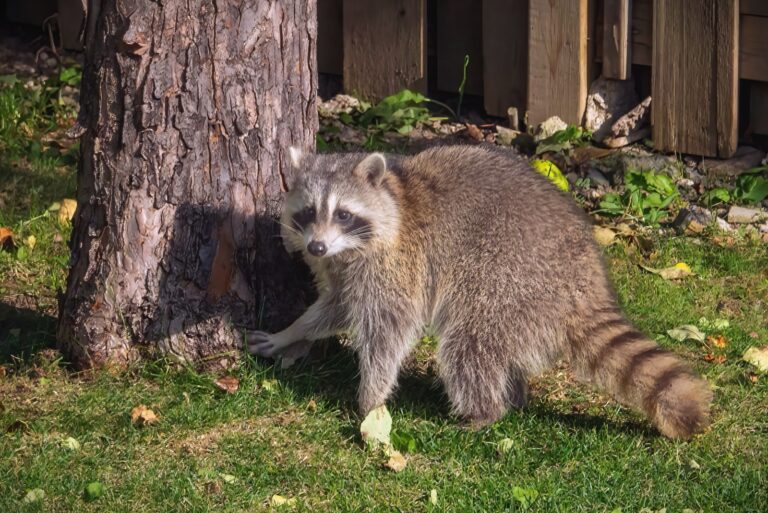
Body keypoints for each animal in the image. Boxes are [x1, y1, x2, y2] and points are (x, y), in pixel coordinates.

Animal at [247, 145, 712, 439]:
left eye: (343, 214)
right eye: (309, 212)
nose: (315, 247)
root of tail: (586, 284)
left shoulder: (398, 266)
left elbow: (389, 331)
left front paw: (370, 400)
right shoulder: (344, 268)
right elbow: (336, 307)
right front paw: (291, 332)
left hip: (512, 280)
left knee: (468, 346)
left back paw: (484, 412)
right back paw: (513, 395)